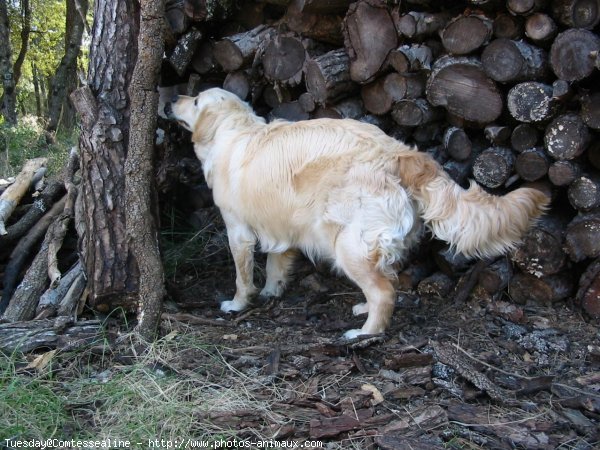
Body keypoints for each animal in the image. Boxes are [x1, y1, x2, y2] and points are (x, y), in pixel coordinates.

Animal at [164, 88, 548, 340]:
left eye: (195, 101)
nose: (170, 100)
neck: (234, 132)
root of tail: (399, 152)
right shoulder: (283, 225)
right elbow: (276, 264)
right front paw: (273, 292)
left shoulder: (238, 231)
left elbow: (243, 276)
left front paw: (238, 303)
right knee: (387, 281)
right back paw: (365, 313)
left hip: (349, 245)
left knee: (385, 292)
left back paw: (365, 333)